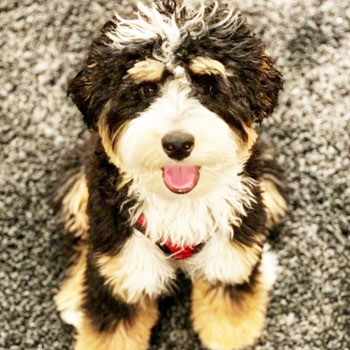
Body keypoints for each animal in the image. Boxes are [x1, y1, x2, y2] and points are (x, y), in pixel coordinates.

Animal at [55, 1, 288, 348]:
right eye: (146, 88)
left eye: (208, 84)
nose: (178, 143)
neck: (180, 203)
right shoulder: (127, 265)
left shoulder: (227, 258)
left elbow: (228, 318)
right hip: (79, 188)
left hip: (268, 186)